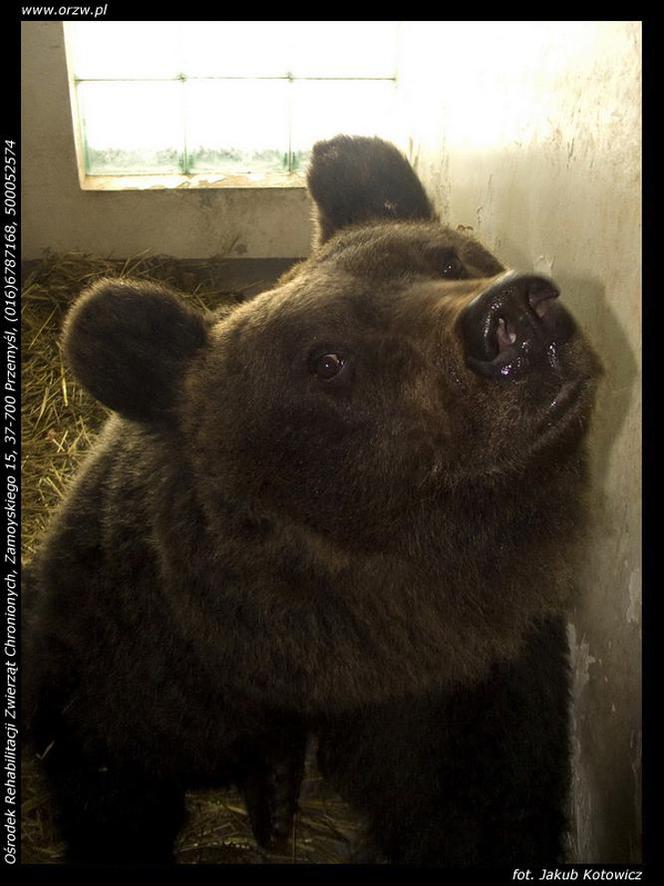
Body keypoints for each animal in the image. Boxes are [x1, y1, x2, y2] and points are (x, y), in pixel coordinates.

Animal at [22, 137, 600, 868]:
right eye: (327, 362)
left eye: (445, 259)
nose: (513, 318)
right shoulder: (136, 661)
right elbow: (108, 778)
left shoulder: (462, 685)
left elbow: (477, 802)